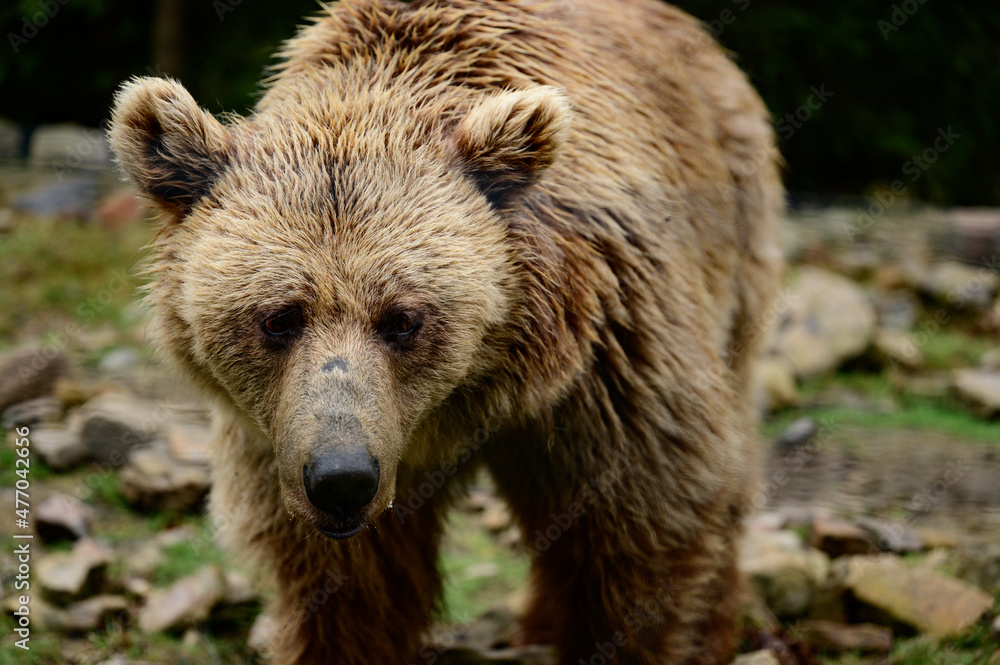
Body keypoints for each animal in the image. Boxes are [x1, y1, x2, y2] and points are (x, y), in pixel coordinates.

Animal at [108, 0, 783, 663]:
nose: (341, 480)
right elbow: (348, 590)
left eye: (402, 319)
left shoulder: (607, 363)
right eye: (278, 318)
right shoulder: (278, 433)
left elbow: (638, 524)